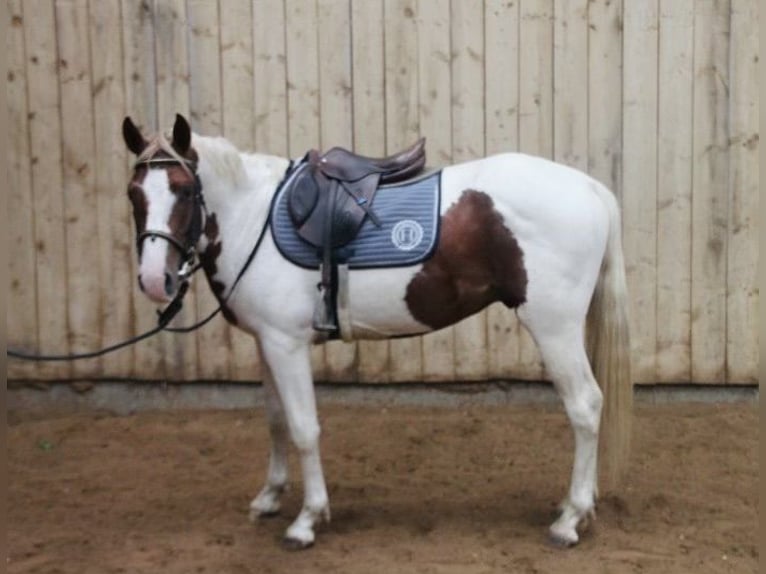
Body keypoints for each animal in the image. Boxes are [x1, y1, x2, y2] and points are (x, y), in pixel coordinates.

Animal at [121, 111, 636, 548]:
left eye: (184, 190)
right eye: (133, 193)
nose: (153, 280)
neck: (255, 219)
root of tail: (591, 188)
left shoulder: (287, 346)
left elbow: (304, 427)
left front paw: (307, 519)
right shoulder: (267, 344)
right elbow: (276, 420)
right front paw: (269, 497)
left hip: (554, 328)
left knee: (586, 406)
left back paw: (570, 519)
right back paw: (577, 507)